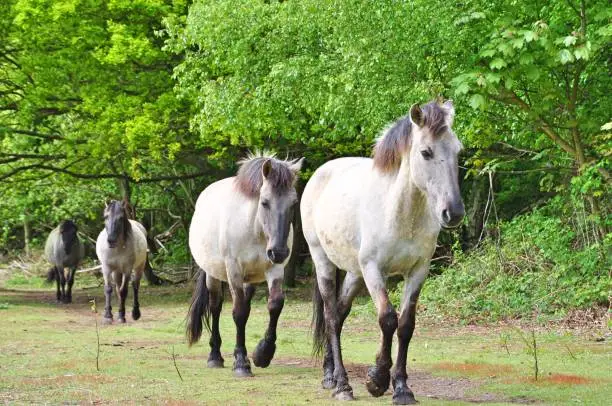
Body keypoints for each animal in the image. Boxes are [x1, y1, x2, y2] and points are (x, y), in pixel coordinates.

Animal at [185, 152, 302, 378]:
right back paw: (215, 356)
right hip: (213, 275)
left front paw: (262, 354)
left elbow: (275, 304)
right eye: (264, 202)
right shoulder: (234, 271)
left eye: (293, 203)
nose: (279, 252)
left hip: (252, 278)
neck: (255, 229)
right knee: (216, 306)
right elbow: (238, 313)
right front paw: (241, 362)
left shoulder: (274, 269)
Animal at [302, 99, 464, 402]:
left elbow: (406, 325)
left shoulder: (418, 271)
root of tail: (322, 172)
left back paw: (330, 375)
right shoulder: (374, 269)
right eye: (426, 152)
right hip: (324, 263)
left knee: (339, 315)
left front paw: (401, 388)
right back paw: (342, 384)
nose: (454, 213)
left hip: (354, 273)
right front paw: (376, 380)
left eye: (458, 150)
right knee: (331, 316)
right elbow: (387, 319)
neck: (400, 212)